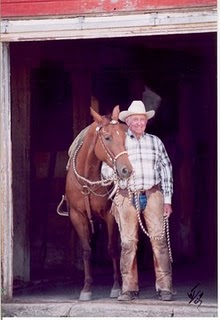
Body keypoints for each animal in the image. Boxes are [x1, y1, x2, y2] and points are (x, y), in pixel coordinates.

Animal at [64, 105, 132, 300]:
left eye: (124, 136)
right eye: (107, 137)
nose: (126, 170)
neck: (87, 182)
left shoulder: (110, 216)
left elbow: (112, 249)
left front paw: (116, 286)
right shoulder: (77, 216)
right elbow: (87, 251)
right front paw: (86, 288)